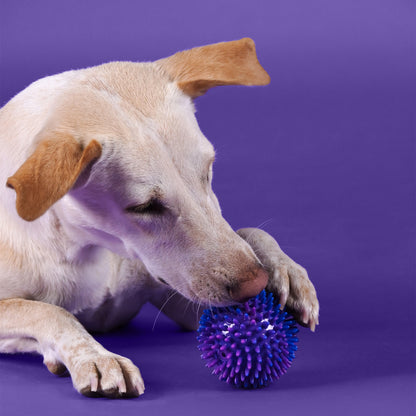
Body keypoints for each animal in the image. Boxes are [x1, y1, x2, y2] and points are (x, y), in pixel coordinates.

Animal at [0, 38, 318, 396]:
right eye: (145, 207)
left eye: (208, 170)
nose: (255, 284)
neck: (91, 248)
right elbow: (49, 311)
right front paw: (95, 357)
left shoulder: (182, 300)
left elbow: (249, 231)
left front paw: (284, 270)